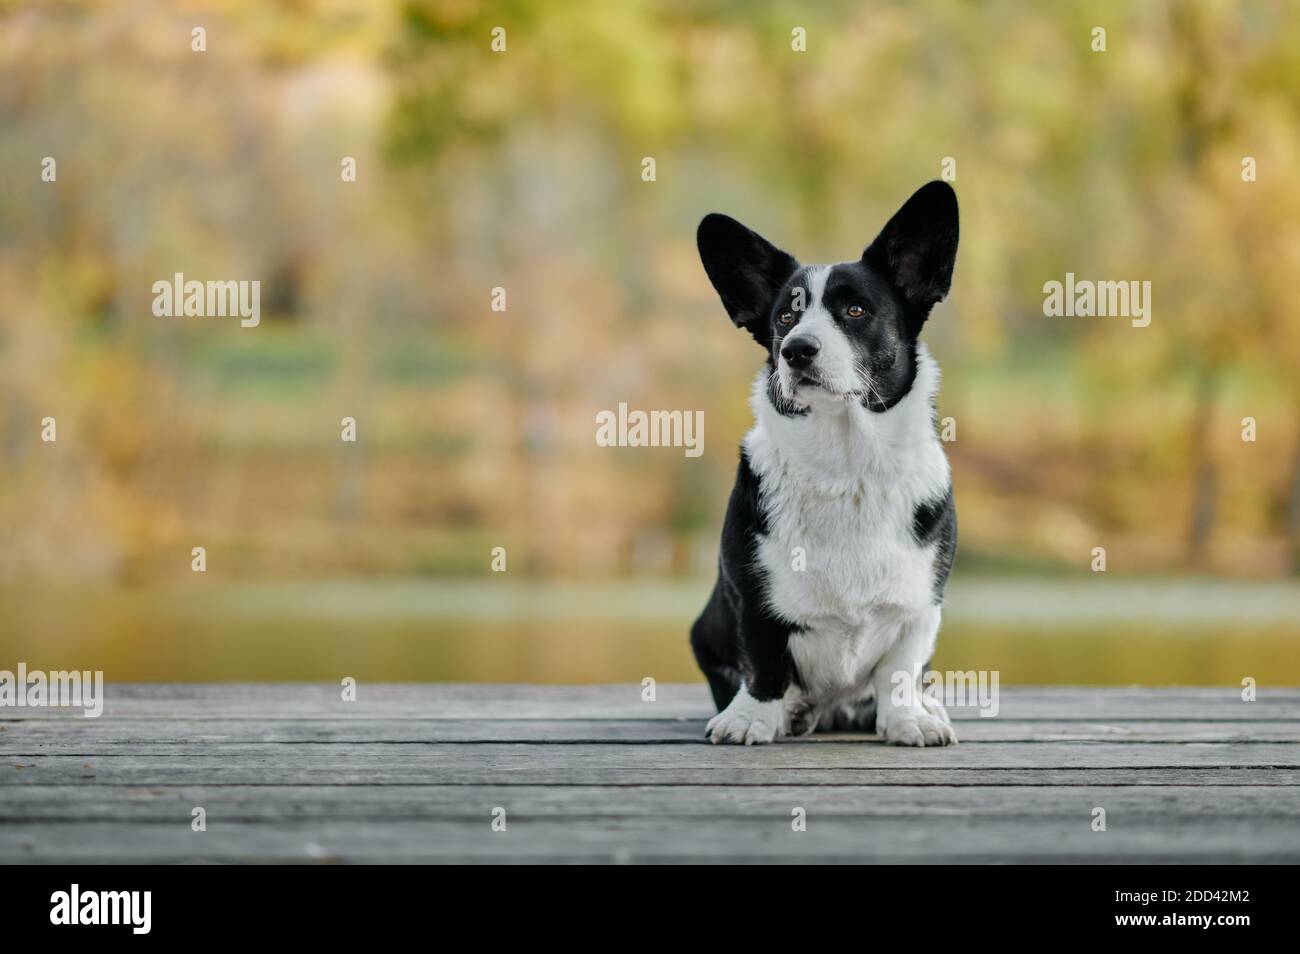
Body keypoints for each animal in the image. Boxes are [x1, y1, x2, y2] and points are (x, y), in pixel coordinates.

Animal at [696, 179, 961, 748]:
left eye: (855, 311)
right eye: (785, 317)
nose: (797, 350)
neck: (848, 463)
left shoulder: (922, 604)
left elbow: (902, 668)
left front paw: (907, 719)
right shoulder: (750, 595)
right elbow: (763, 660)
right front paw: (753, 717)